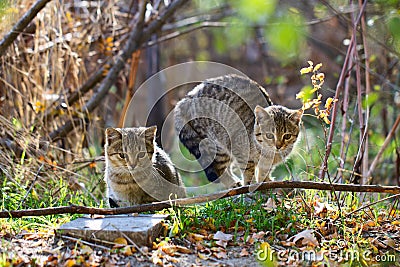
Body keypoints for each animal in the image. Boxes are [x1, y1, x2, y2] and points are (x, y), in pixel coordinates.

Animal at [173, 73, 302, 186]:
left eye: (287, 136)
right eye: (269, 135)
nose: (278, 146)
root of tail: (185, 99)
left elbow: (265, 171)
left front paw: (266, 180)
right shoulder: (240, 151)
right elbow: (248, 170)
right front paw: (250, 183)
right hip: (218, 144)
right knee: (220, 170)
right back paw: (233, 183)